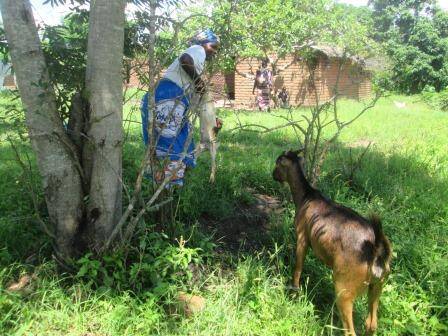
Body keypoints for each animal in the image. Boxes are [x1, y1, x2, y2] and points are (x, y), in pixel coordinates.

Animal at [272, 151, 390, 334]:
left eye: (278, 164)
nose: (273, 175)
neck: (306, 196)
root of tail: (375, 251)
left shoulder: (302, 238)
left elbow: (298, 267)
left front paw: (294, 292)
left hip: (344, 290)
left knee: (350, 330)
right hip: (378, 286)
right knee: (371, 324)